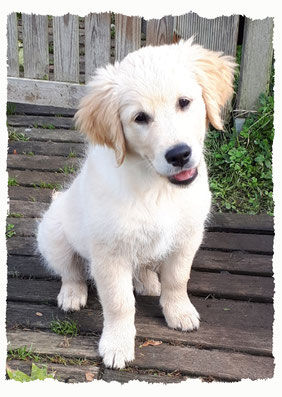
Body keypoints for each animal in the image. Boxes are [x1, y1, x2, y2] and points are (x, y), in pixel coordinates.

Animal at [37, 38, 236, 368]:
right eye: (140, 118)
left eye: (184, 102)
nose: (179, 154)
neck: (157, 187)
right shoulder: (109, 254)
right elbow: (119, 302)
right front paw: (117, 344)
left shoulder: (187, 237)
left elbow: (178, 278)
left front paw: (179, 311)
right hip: (53, 234)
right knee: (70, 270)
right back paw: (72, 294)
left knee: (142, 266)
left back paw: (147, 282)